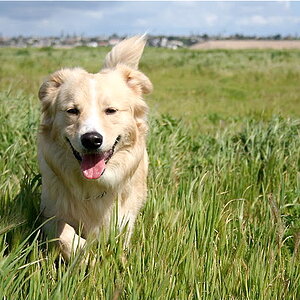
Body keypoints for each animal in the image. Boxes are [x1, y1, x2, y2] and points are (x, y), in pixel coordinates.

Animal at [38, 35, 152, 260]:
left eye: (111, 110)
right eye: (72, 111)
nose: (91, 139)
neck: (91, 185)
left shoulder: (123, 218)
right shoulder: (50, 209)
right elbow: (64, 234)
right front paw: (84, 254)